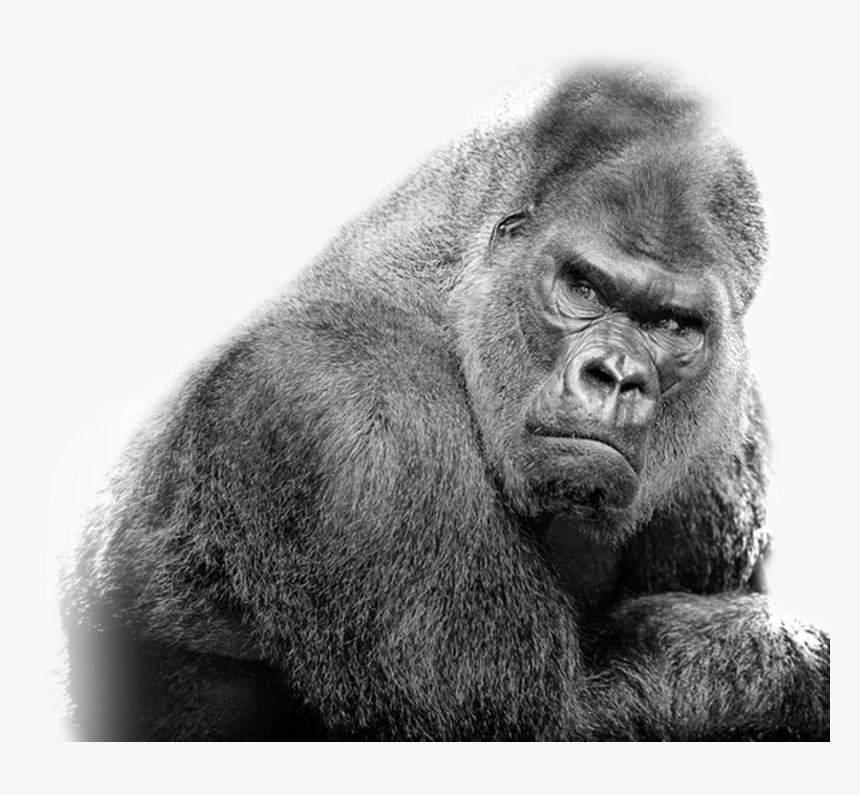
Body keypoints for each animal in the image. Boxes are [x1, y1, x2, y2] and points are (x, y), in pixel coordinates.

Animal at [61, 64, 829, 740]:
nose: (614, 376)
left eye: (673, 325)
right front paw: (793, 659)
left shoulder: (730, 425)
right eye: (582, 288)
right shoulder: (357, 411)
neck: (454, 283)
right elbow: (544, 723)